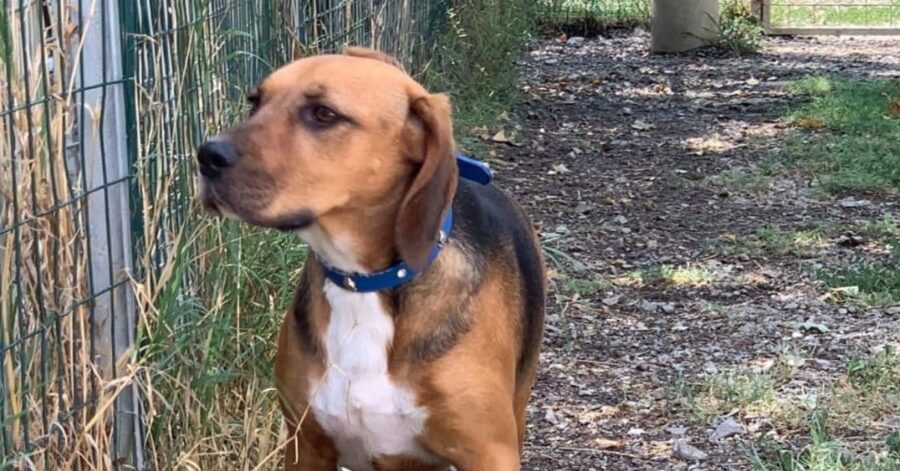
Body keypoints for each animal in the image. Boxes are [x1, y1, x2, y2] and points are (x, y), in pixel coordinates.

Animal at [196, 46, 544, 470]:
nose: (206, 155)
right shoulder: (306, 443)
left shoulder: (489, 452)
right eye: (255, 102)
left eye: (324, 113)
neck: (362, 284)